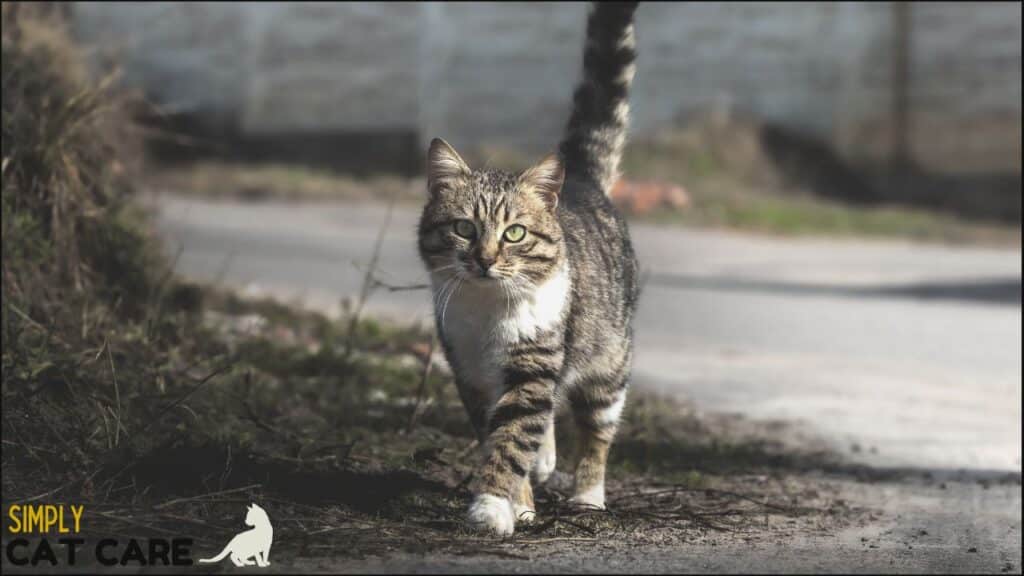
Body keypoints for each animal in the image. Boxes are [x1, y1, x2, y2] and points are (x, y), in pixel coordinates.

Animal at [417, 3, 638, 532]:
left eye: (514, 233)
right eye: (464, 228)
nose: (485, 259)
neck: (490, 313)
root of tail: (580, 179)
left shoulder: (534, 362)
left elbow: (513, 435)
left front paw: (491, 507)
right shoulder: (470, 372)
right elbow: (498, 437)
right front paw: (518, 504)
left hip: (608, 360)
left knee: (597, 430)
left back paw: (588, 497)